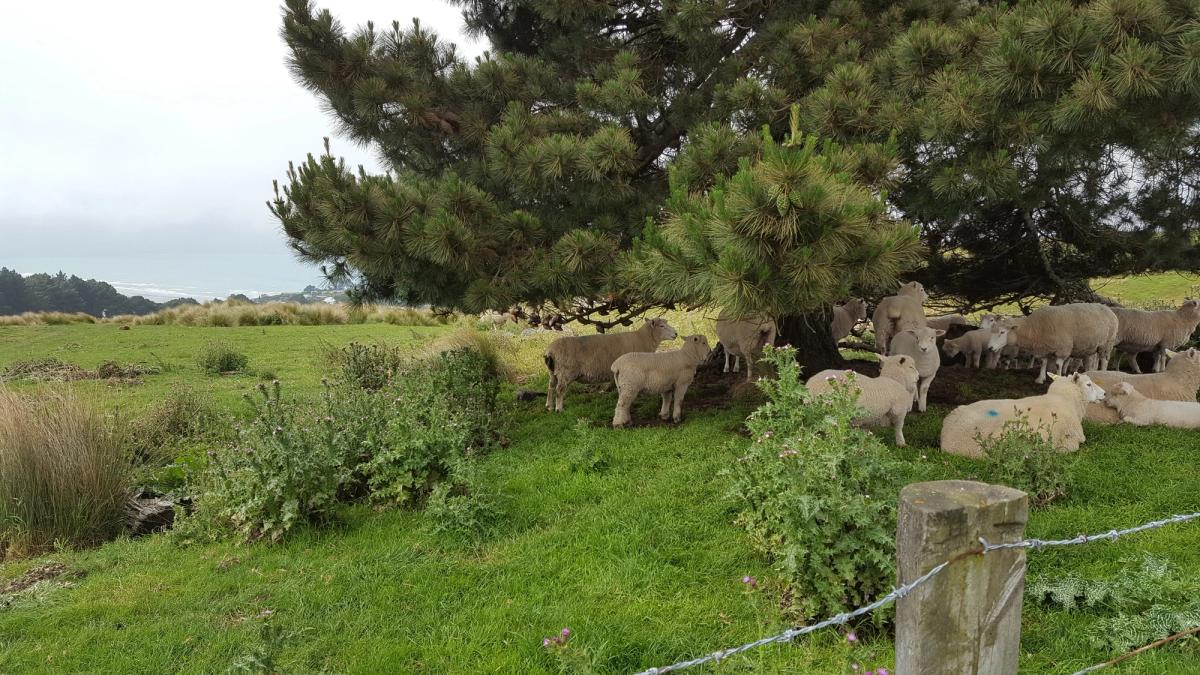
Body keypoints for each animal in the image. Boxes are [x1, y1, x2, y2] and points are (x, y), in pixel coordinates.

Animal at [544, 317, 677, 412]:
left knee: (550, 387)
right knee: (559, 389)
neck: (644, 339)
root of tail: (550, 350)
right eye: (662, 326)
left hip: (553, 371)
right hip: (566, 372)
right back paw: (559, 409)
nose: (676, 334)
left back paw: (549, 406)